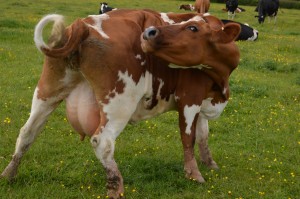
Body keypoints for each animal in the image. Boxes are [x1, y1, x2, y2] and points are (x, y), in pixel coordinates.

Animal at [1, 8, 240, 198]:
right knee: (102, 142)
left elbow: (203, 135)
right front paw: (195, 174)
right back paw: (116, 187)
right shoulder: (189, 98)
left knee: (27, 132)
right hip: (119, 103)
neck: (220, 79)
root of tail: (82, 24)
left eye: (192, 27)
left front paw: (210, 164)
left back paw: (9, 175)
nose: (150, 32)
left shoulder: (201, 100)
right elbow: (188, 137)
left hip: (47, 91)